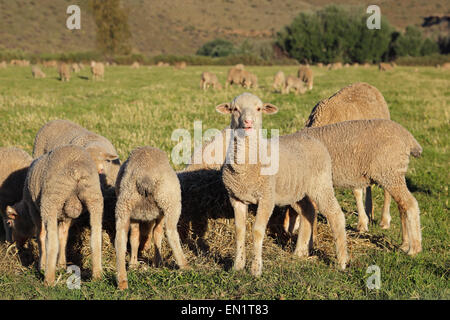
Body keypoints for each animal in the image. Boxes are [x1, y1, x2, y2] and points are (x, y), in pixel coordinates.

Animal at [4, 145, 103, 284]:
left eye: (10, 223)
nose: (16, 245)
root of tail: (77, 170)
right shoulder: (66, 217)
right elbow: (63, 236)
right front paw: (61, 264)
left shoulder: (35, 211)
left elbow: (41, 236)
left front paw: (42, 265)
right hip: (94, 197)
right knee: (96, 236)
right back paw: (97, 275)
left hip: (50, 201)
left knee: (50, 240)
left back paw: (48, 279)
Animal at [216, 91, 350, 276]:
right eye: (235, 109)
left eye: (259, 109)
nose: (248, 122)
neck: (246, 166)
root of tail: (312, 139)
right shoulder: (236, 198)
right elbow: (239, 231)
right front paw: (238, 265)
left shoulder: (266, 197)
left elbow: (257, 231)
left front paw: (256, 269)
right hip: (297, 190)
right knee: (308, 211)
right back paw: (300, 252)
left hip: (321, 184)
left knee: (335, 214)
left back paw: (342, 261)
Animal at [288, 119, 422, 256]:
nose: (288, 231)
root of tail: (408, 137)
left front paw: (311, 240)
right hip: (394, 174)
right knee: (402, 206)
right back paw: (405, 245)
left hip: (389, 172)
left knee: (410, 204)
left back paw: (414, 249)